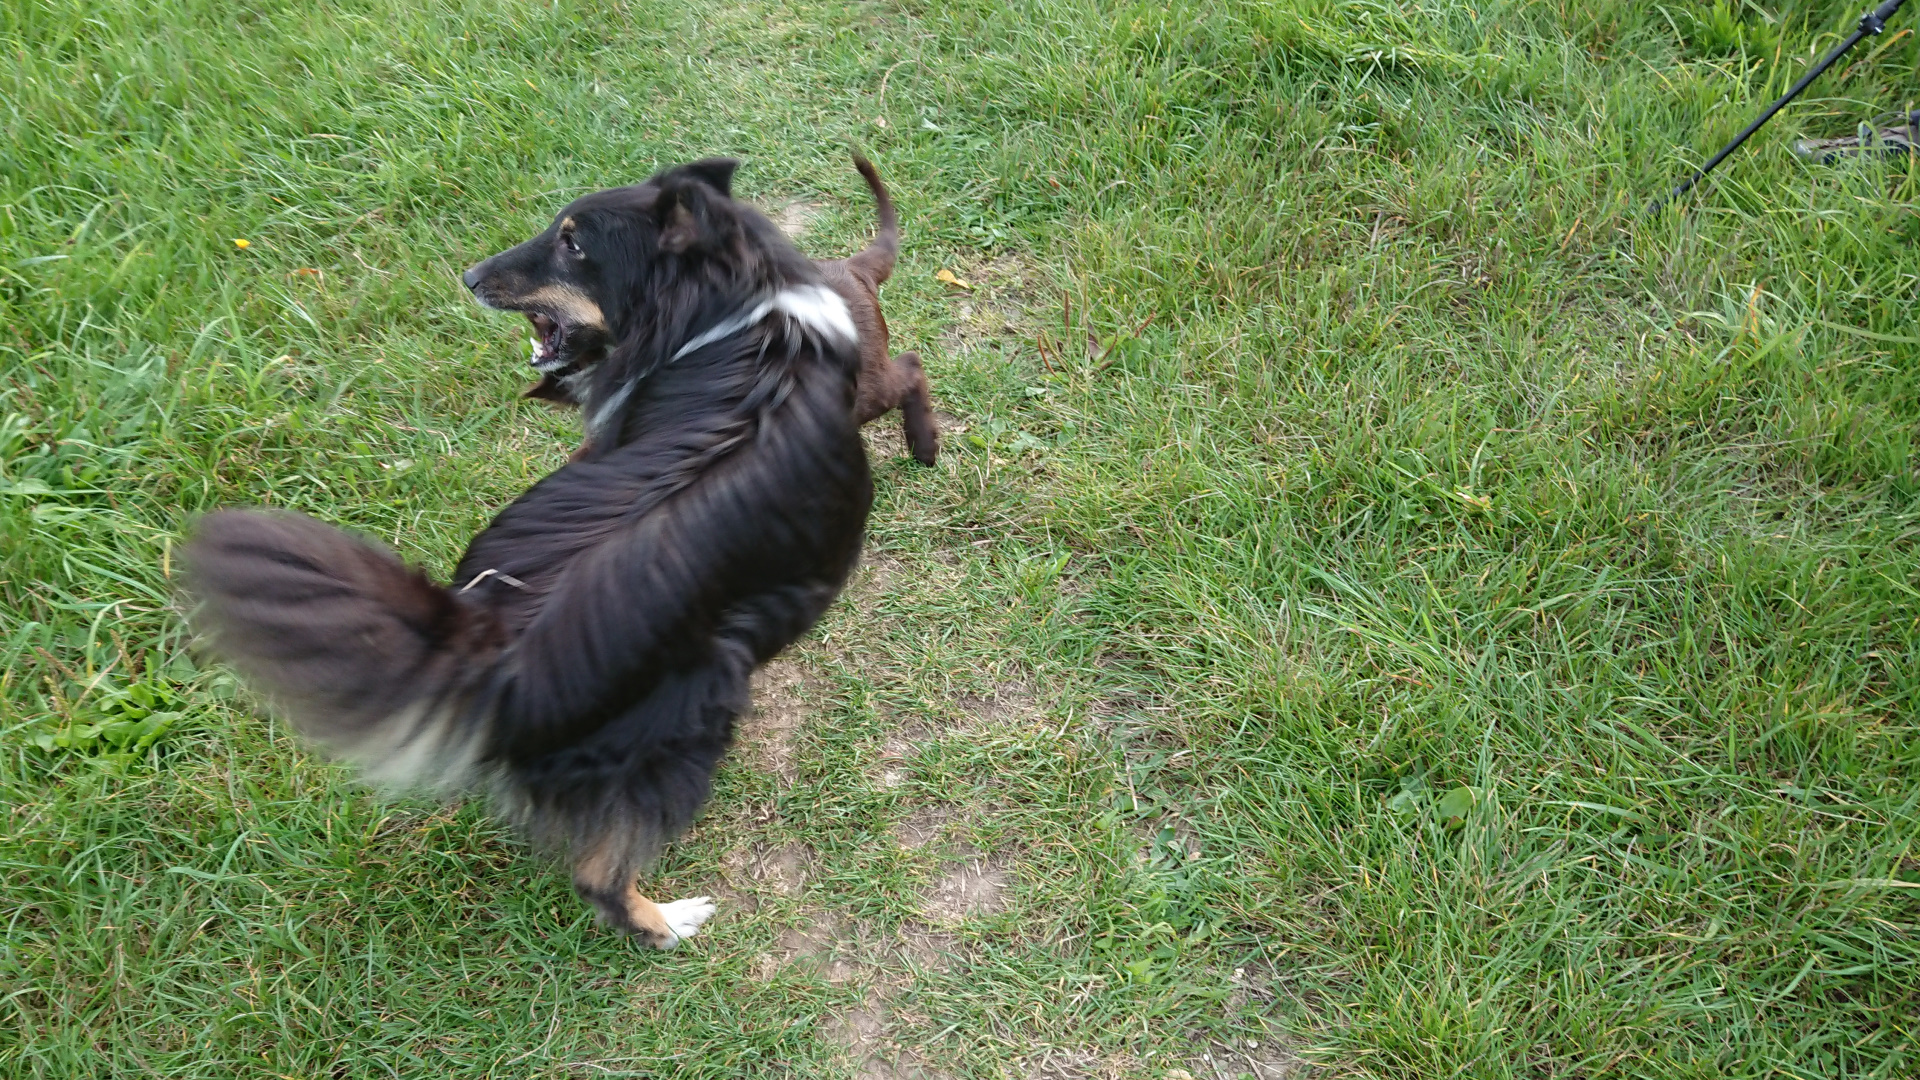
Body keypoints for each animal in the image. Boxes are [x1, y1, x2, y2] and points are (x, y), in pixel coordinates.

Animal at [182, 158, 873, 949]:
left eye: (573, 245)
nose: (469, 276)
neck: (731, 313)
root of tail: (495, 654)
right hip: (697, 706)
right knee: (601, 873)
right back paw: (668, 922)